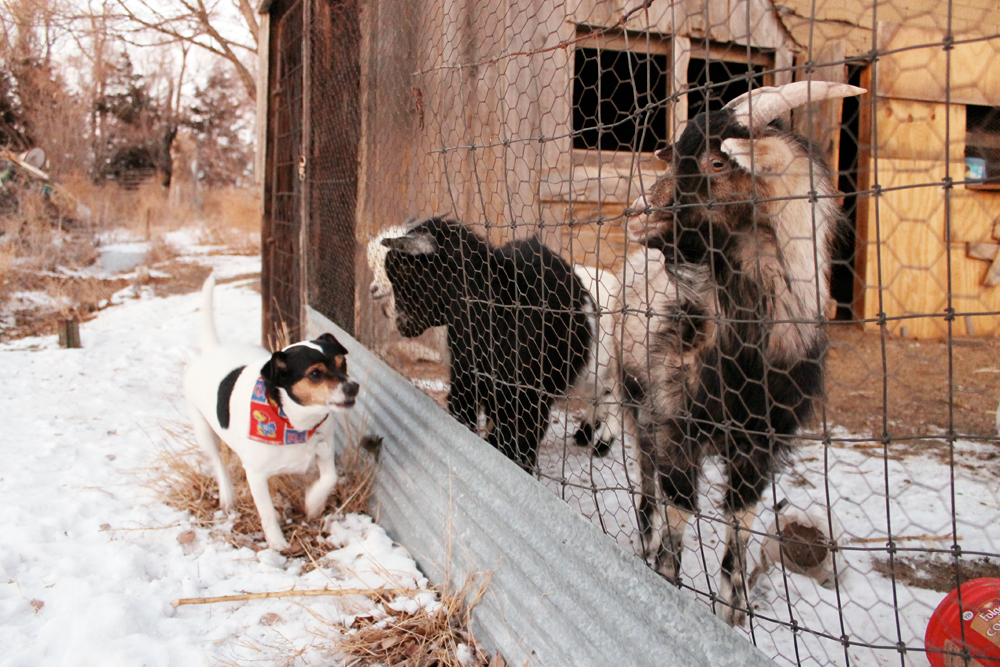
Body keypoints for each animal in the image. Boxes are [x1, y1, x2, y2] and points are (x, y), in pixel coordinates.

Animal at [186, 274, 362, 552]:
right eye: (315, 374)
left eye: (342, 364)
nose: (353, 387)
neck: (294, 423)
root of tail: (213, 348)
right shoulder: (256, 475)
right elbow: (267, 511)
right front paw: (278, 543)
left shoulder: (324, 452)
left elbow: (329, 479)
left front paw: (313, 504)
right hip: (203, 430)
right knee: (217, 460)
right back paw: (227, 496)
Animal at [620, 82, 864, 628]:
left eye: (717, 161)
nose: (639, 213)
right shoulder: (677, 425)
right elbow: (678, 514)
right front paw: (665, 580)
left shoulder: (759, 451)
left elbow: (741, 530)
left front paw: (734, 614)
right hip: (635, 400)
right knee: (645, 471)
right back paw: (643, 538)